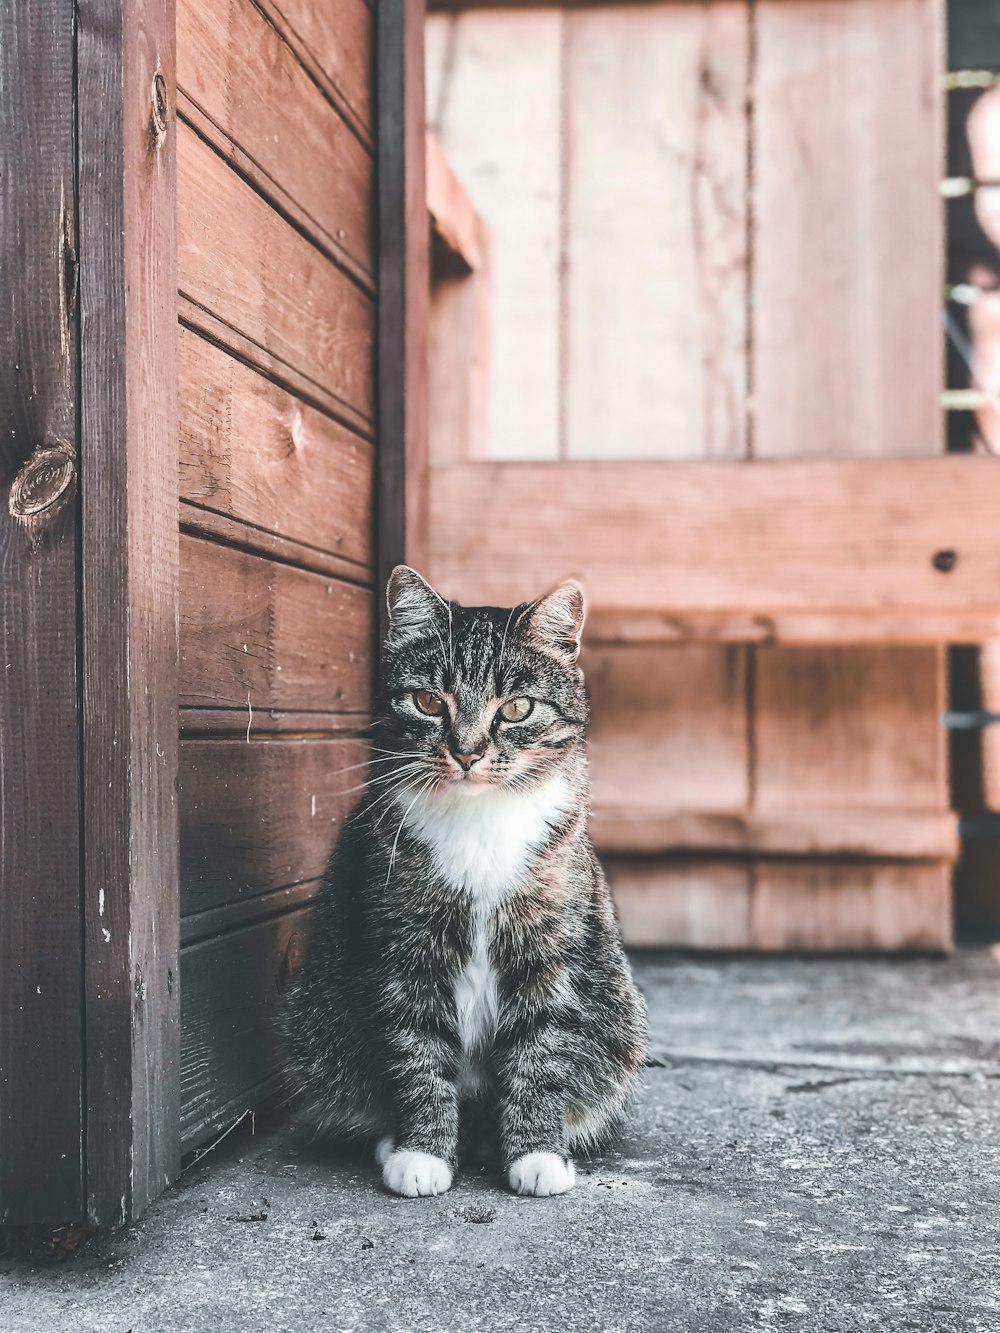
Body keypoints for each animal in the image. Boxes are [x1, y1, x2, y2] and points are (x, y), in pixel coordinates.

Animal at [284, 565, 650, 1199]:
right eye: (430, 701)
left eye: (518, 707)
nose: (468, 752)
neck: (479, 821)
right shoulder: (403, 947)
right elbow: (417, 1050)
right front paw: (422, 1153)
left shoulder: (550, 949)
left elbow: (541, 1049)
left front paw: (537, 1153)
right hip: (320, 1025)